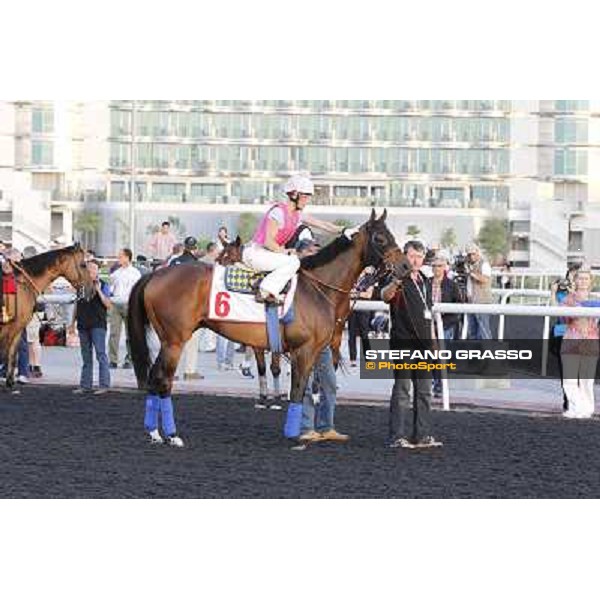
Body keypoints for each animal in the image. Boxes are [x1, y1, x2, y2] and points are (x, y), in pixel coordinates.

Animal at [0, 245, 94, 390]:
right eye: (83, 265)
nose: (91, 289)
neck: (23, 284)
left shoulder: (18, 329)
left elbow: (12, 354)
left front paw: (10, 383)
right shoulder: (11, 327)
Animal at [126, 209, 408, 442]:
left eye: (391, 235)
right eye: (380, 239)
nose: (405, 266)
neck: (317, 287)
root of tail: (155, 274)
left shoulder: (314, 349)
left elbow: (313, 387)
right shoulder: (303, 350)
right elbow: (298, 390)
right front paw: (294, 434)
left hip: (166, 340)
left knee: (154, 377)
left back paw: (154, 432)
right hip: (175, 340)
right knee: (164, 381)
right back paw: (172, 435)